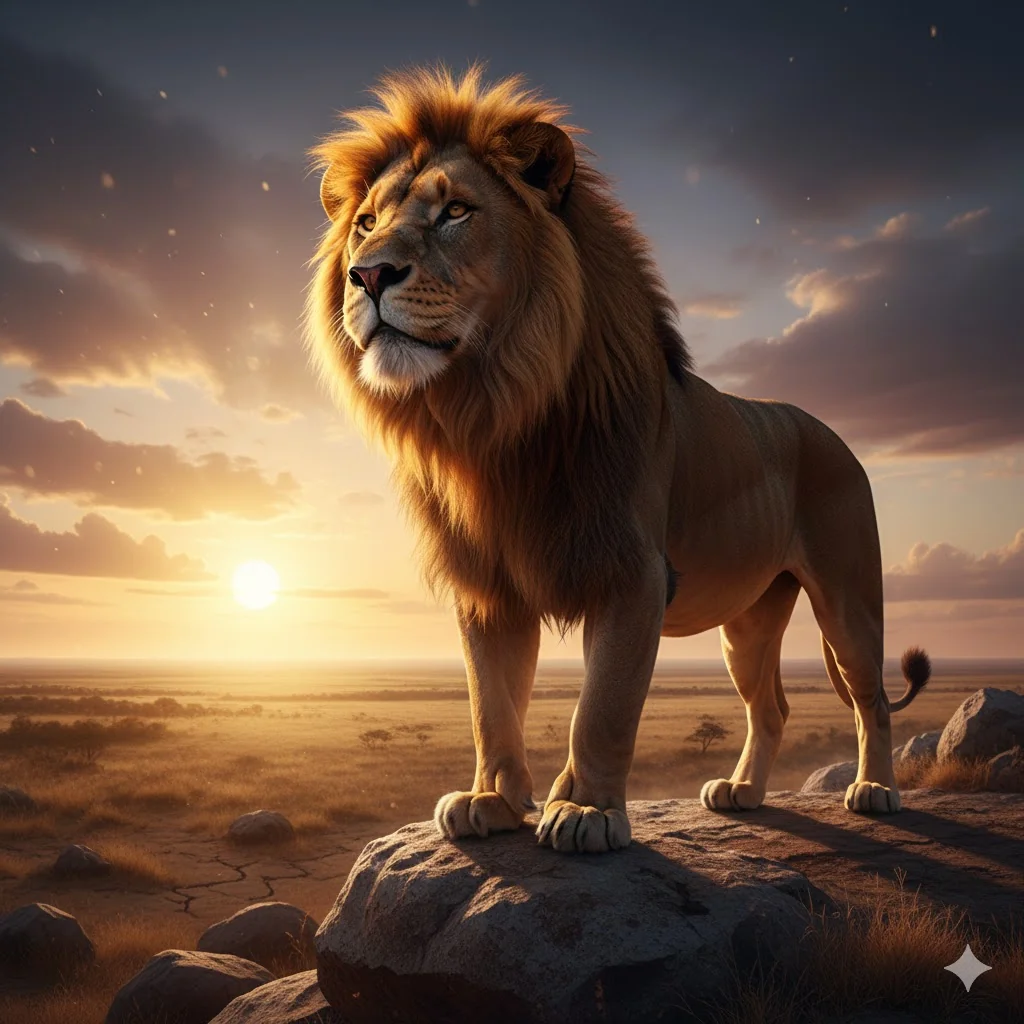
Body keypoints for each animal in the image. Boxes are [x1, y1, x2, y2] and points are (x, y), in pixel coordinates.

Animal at [305, 65, 931, 854]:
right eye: (364, 224)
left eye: (456, 211)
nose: (368, 275)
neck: (493, 417)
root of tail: (831, 431)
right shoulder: (488, 588)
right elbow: (490, 703)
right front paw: (491, 801)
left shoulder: (632, 574)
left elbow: (602, 707)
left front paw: (587, 812)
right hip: (749, 619)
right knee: (772, 705)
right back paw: (743, 793)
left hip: (848, 594)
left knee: (869, 694)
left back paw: (875, 791)